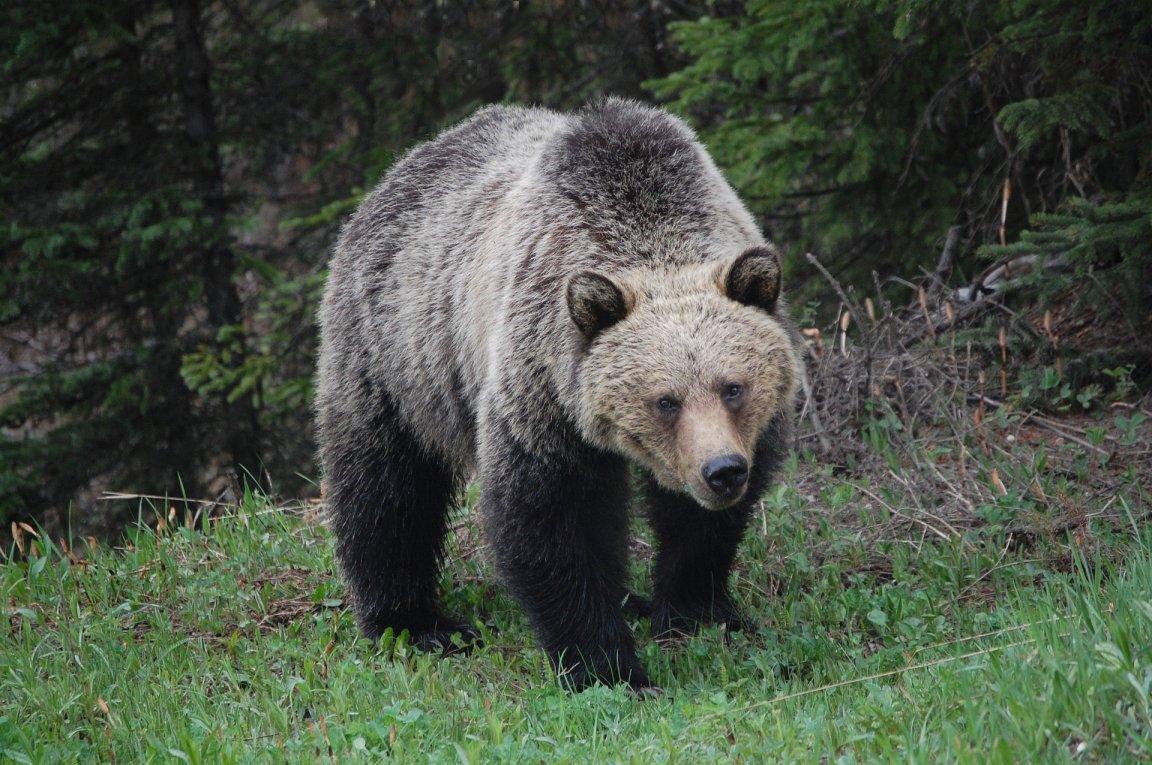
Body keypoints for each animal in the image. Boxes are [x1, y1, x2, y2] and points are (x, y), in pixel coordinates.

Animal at [316, 98, 801, 692]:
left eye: (734, 387)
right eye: (665, 400)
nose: (722, 471)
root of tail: (399, 169)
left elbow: (700, 525)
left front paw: (697, 610)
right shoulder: (542, 386)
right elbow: (553, 517)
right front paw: (608, 667)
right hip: (395, 353)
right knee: (387, 489)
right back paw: (415, 622)